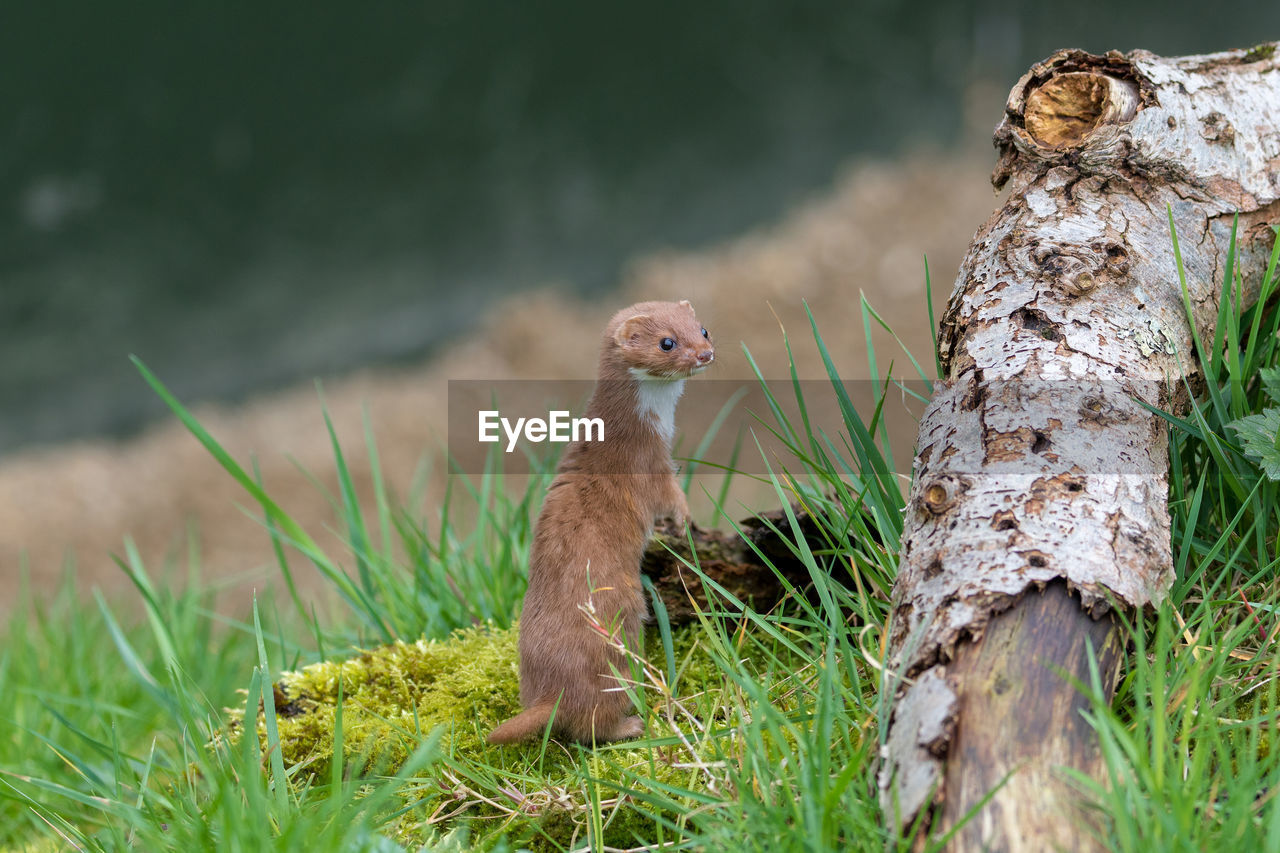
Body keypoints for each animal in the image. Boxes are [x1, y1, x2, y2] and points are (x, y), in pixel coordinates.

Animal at [483, 300, 716, 742]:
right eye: (667, 342)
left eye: (703, 329)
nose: (705, 354)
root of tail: (552, 694)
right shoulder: (651, 463)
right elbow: (670, 499)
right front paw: (686, 521)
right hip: (621, 628)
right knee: (595, 722)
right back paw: (631, 723)